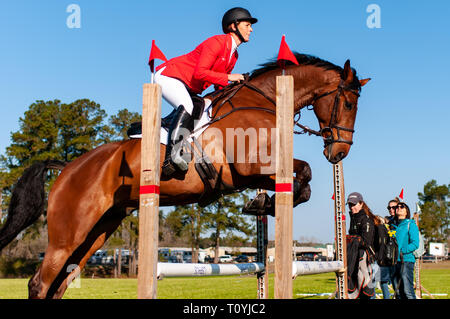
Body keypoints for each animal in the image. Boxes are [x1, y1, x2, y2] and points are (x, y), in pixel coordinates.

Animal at [0, 53, 370, 298]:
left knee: (60, 283)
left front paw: (260, 204)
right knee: (40, 283)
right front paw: (263, 203)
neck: (265, 102)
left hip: (100, 230)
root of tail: (67, 168)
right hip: (69, 232)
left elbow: (301, 182)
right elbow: (303, 173)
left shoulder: (252, 175)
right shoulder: (249, 168)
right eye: (349, 104)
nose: (339, 153)